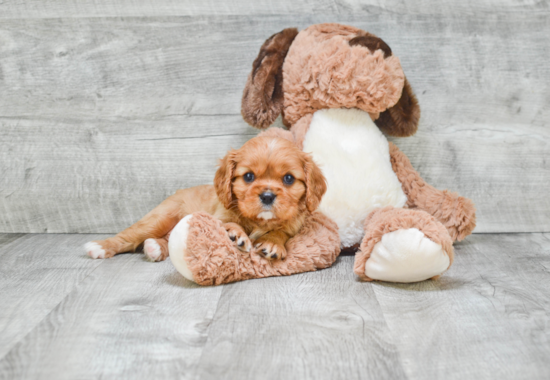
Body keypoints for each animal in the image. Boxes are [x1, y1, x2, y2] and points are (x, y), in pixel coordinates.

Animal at [85, 135, 328, 262]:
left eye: (288, 178)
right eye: (248, 176)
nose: (267, 196)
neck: (260, 221)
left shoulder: (293, 227)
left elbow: (281, 233)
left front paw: (272, 243)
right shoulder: (219, 215)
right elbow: (229, 223)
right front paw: (236, 235)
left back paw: (155, 248)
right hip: (159, 218)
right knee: (129, 235)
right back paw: (100, 246)